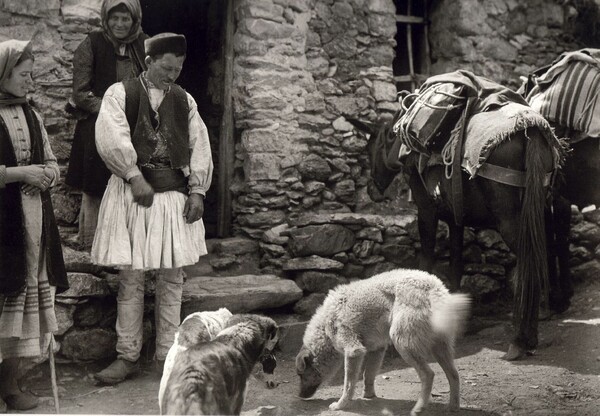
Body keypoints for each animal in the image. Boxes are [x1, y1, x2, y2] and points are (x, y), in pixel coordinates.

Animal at [298, 268, 472, 414]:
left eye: (301, 375)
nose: (299, 396)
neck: (324, 327)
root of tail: (433, 289)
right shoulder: (377, 349)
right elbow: (368, 375)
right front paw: (368, 395)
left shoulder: (354, 351)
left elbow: (348, 384)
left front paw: (341, 405)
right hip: (440, 349)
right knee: (454, 375)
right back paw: (453, 407)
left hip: (403, 344)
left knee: (428, 375)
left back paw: (419, 408)